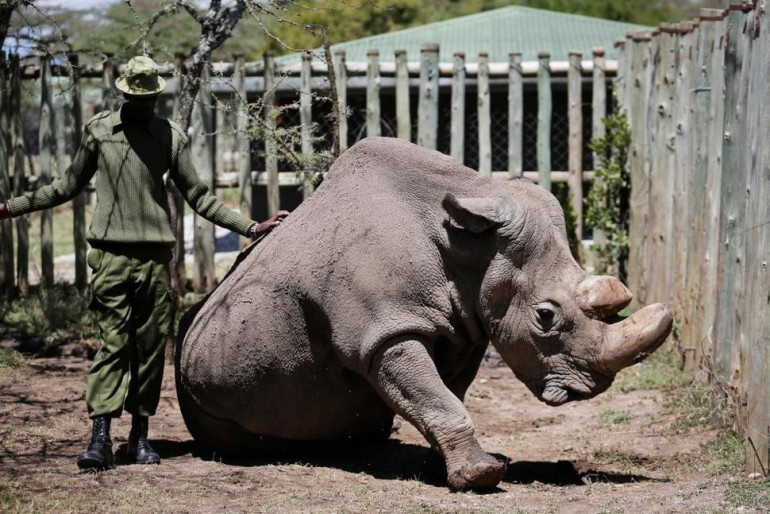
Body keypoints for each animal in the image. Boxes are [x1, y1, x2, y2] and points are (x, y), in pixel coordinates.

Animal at [175, 137, 672, 490]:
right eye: (545, 316)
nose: (591, 389)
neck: (470, 247)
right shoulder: (384, 332)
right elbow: (434, 395)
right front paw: (481, 477)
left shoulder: (465, 325)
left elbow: (444, 394)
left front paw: (455, 466)